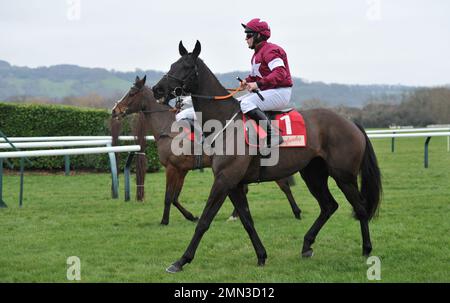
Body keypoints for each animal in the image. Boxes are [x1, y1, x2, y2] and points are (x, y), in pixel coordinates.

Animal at [111, 76, 304, 226]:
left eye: (132, 93)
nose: (115, 110)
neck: (170, 129)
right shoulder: (182, 170)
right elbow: (175, 197)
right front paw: (191, 216)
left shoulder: (172, 168)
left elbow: (168, 197)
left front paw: (164, 221)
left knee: (283, 185)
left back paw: (295, 211)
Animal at [152, 40, 384, 274]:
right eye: (173, 64)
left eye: (186, 66)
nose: (157, 89)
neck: (225, 123)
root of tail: (351, 122)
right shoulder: (234, 184)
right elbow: (247, 220)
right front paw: (261, 255)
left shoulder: (224, 180)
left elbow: (204, 221)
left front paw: (181, 261)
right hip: (313, 174)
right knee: (329, 206)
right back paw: (307, 245)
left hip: (344, 176)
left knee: (360, 207)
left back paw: (366, 249)